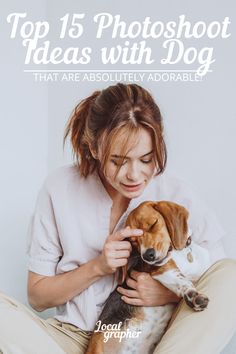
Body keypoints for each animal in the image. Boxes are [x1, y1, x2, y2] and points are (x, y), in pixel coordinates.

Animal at [85, 201, 211, 352]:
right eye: (133, 241)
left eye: (153, 224)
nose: (147, 255)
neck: (181, 255)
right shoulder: (160, 269)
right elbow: (179, 280)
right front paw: (192, 296)